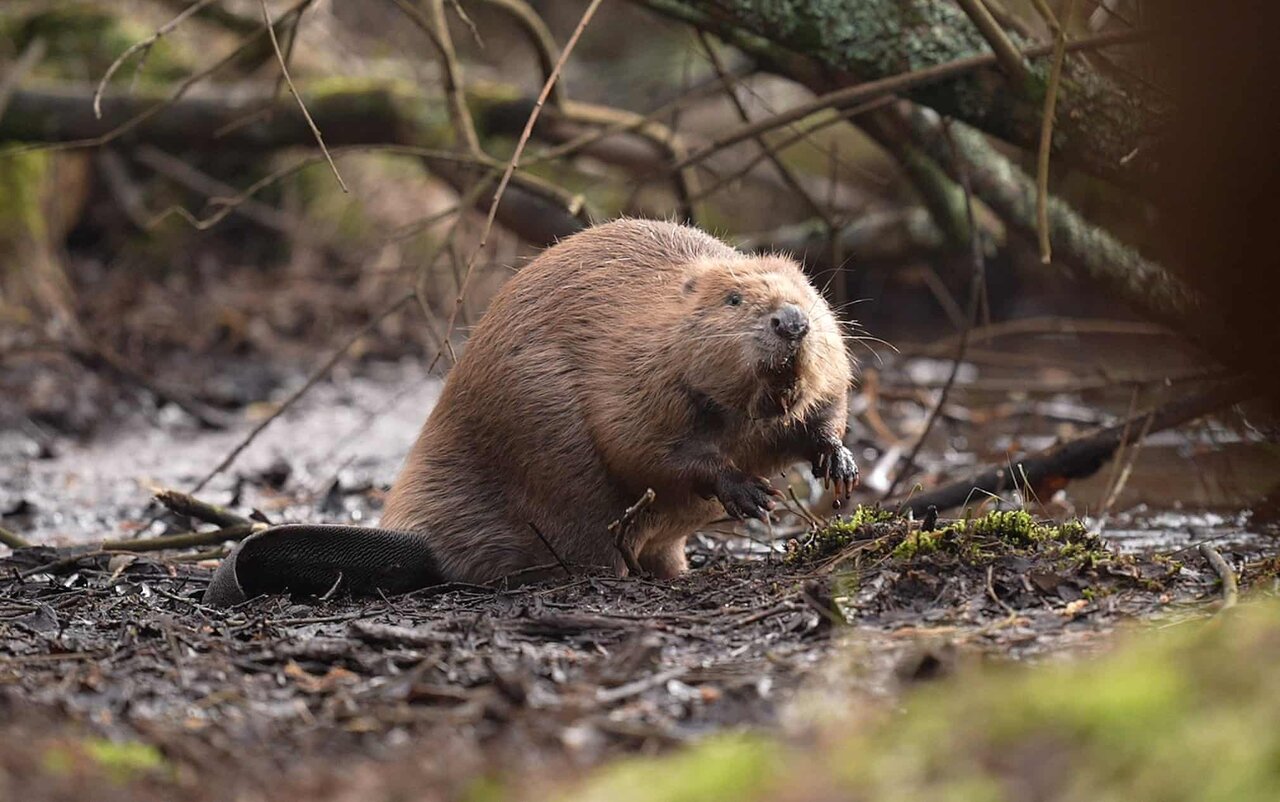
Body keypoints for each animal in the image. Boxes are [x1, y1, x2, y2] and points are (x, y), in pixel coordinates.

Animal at [202, 216, 860, 606]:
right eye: (733, 299)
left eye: (804, 295)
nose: (791, 323)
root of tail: (424, 544)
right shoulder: (631, 370)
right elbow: (647, 447)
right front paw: (750, 493)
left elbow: (826, 409)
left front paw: (840, 465)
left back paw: (680, 572)